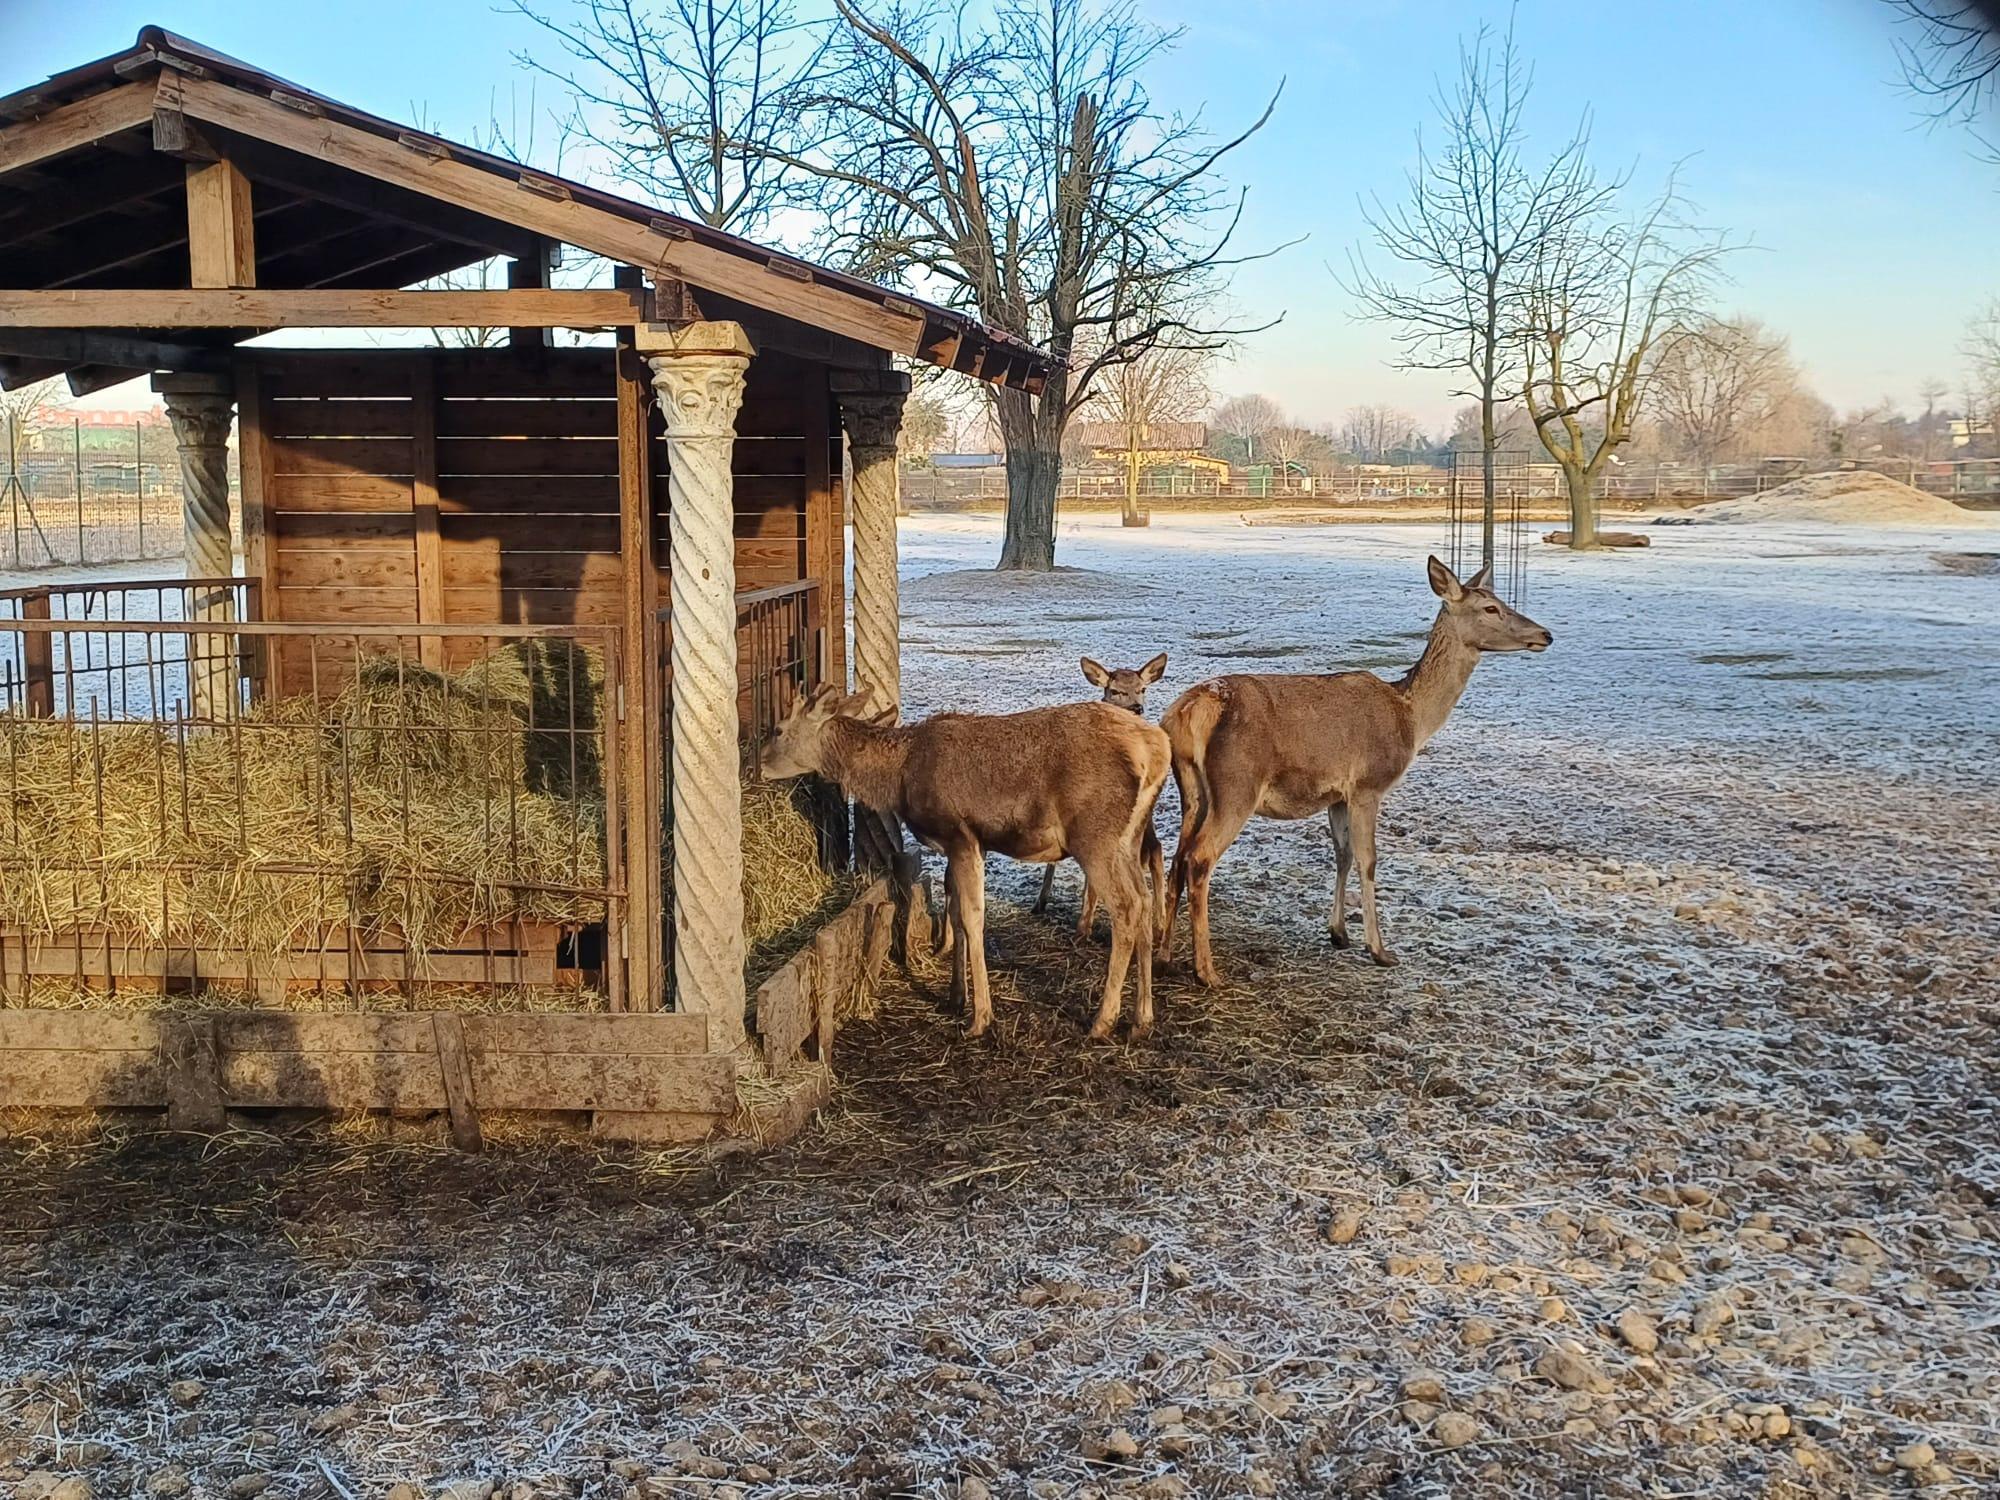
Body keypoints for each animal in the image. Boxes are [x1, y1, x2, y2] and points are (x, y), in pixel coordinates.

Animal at [760, 688, 1168, 1040]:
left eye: (778, 729)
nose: (759, 762)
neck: (898, 777)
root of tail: (1157, 751)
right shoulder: (973, 845)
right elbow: (955, 913)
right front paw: (956, 996)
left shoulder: (959, 835)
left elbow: (972, 918)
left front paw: (980, 1017)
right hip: (1129, 838)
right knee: (1144, 899)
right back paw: (1142, 1018)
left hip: (1095, 835)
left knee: (1127, 906)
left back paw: (1103, 1020)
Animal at [1040, 656, 1168, 936]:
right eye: (1115, 690)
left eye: (1143, 688)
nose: (1137, 707)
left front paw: (1083, 923)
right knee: (1154, 849)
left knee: (1151, 851)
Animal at [1152, 556, 1552, 988]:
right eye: (1491, 608)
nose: (1545, 634)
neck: (1410, 717)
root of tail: (1189, 711)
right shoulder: (1368, 785)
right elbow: (1368, 859)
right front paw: (1379, 950)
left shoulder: (1336, 795)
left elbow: (1341, 854)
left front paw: (1338, 933)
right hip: (1236, 785)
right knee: (1200, 858)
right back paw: (1207, 970)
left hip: (1192, 790)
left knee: (1178, 858)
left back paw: (1164, 956)